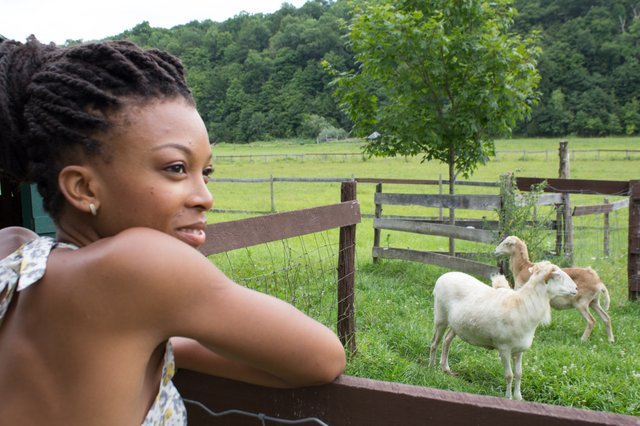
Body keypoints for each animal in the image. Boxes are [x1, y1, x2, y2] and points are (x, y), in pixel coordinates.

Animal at [428, 262, 576, 402]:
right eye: (558, 275)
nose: (576, 288)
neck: (523, 305)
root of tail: (444, 276)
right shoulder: (504, 348)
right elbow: (509, 375)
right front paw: (508, 397)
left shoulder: (519, 350)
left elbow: (519, 374)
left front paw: (519, 397)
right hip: (440, 317)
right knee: (435, 342)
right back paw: (431, 367)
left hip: (456, 324)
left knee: (447, 341)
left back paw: (445, 368)